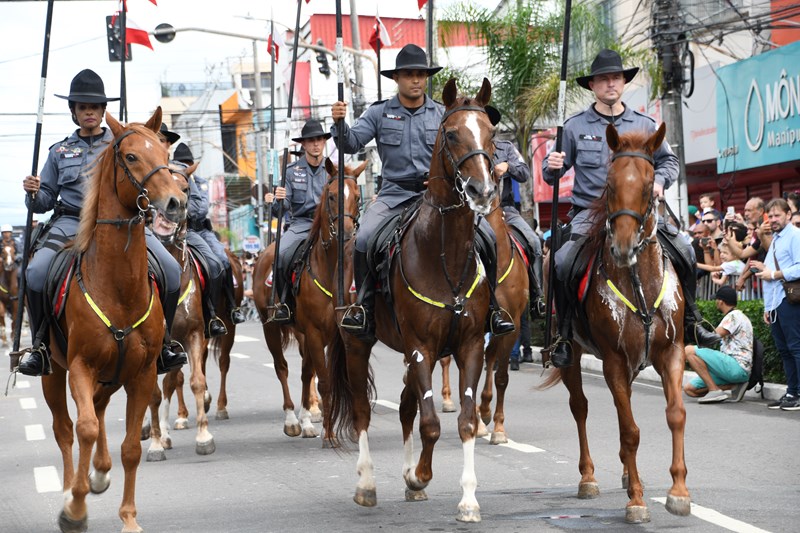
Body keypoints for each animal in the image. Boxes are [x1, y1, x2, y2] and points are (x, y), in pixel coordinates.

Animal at [39, 108, 187, 532]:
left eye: (165, 154)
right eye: (132, 157)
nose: (175, 203)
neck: (117, 286)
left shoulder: (141, 374)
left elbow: (131, 448)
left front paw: (128, 518)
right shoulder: (79, 367)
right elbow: (85, 428)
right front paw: (74, 508)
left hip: (113, 376)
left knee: (100, 411)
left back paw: (100, 472)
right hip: (54, 373)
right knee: (67, 430)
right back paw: (71, 488)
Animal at [253, 158, 362, 440]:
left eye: (358, 197)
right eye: (332, 196)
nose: (347, 234)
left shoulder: (337, 333)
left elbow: (331, 377)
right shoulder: (314, 332)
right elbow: (324, 382)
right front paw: (329, 432)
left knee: (304, 373)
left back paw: (305, 420)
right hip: (270, 327)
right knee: (282, 367)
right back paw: (292, 419)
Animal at [326, 78, 500, 520]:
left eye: (491, 133)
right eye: (451, 134)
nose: (482, 191)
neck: (445, 254)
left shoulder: (470, 346)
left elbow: (465, 421)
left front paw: (466, 499)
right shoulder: (422, 347)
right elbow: (431, 423)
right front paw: (421, 474)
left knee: (405, 406)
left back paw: (408, 479)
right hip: (357, 343)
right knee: (362, 410)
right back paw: (368, 484)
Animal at [540, 121, 692, 524]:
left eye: (650, 184)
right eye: (609, 184)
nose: (623, 246)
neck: (639, 283)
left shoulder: (671, 352)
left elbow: (675, 415)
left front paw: (678, 492)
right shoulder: (612, 360)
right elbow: (630, 431)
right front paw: (637, 501)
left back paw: (625, 472)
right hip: (574, 355)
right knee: (580, 407)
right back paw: (589, 477)